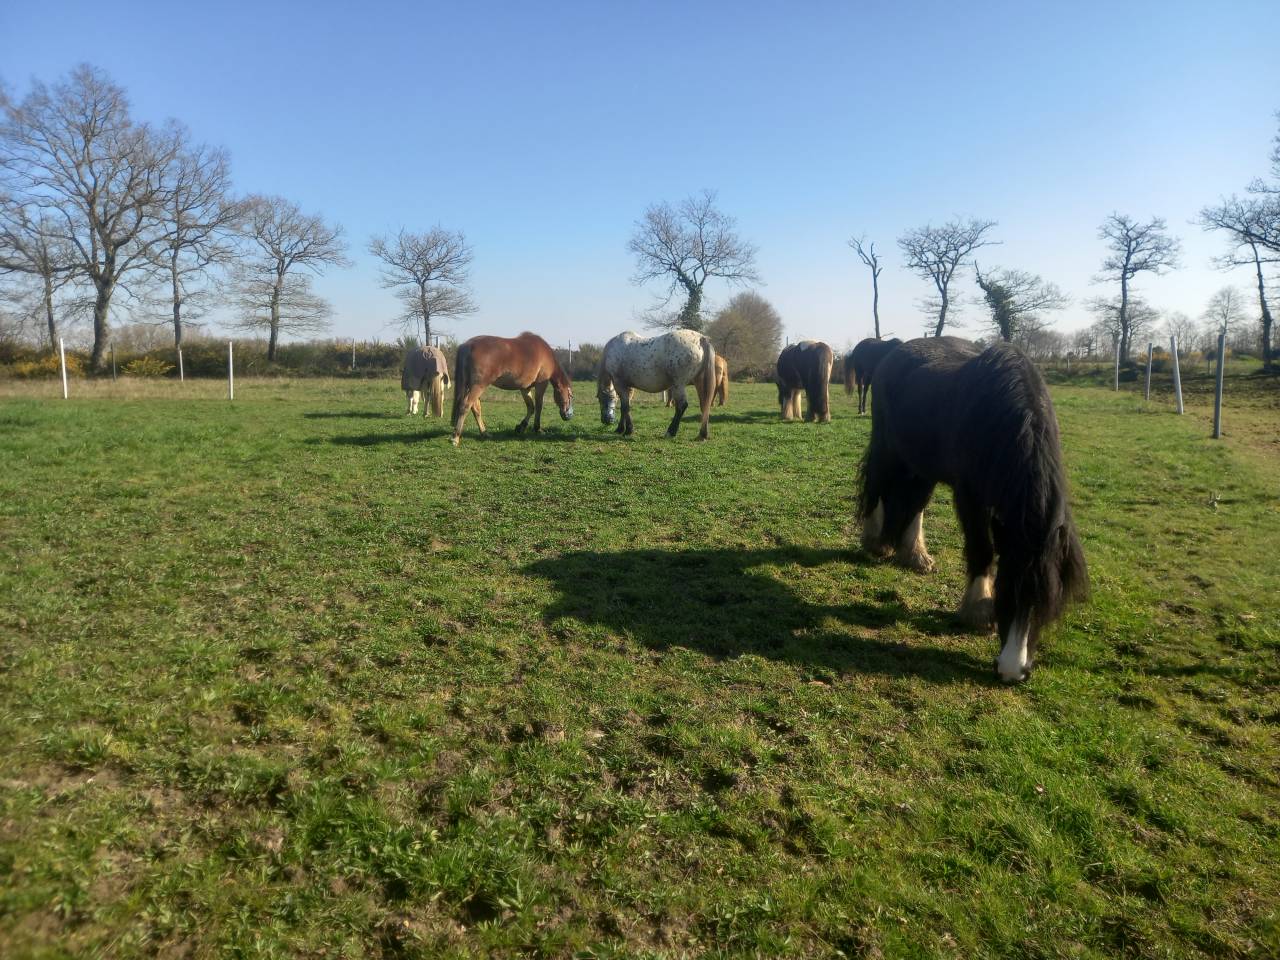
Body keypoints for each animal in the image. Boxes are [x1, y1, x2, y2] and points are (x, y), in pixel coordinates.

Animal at [856, 336, 1088, 683]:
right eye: (1005, 589)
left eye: (1048, 600)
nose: (1012, 671)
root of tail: (891, 352)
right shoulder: (971, 496)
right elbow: (982, 548)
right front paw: (979, 610)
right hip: (887, 447)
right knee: (876, 486)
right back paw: (876, 543)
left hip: (923, 464)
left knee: (915, 502)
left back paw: (915, 555)